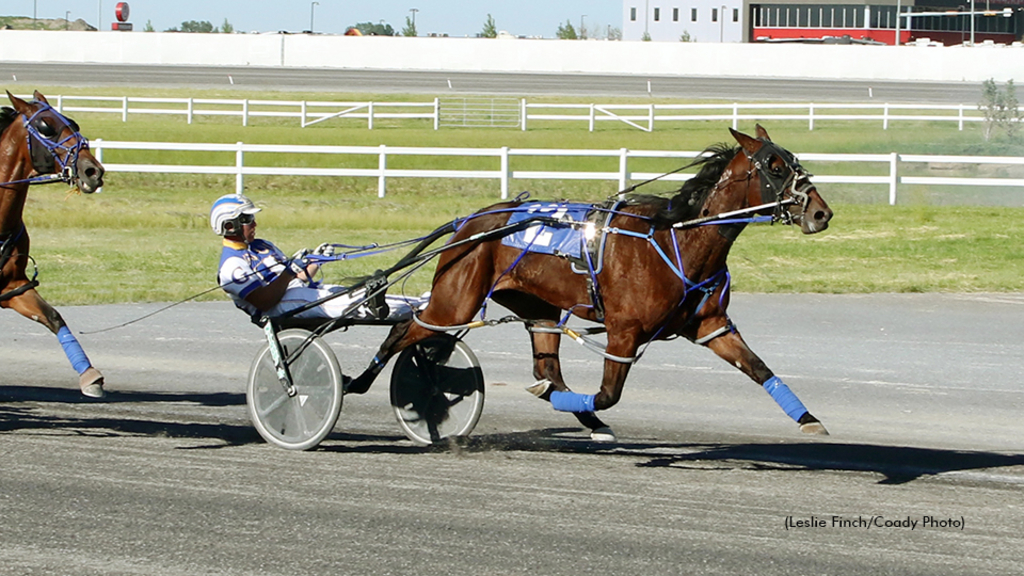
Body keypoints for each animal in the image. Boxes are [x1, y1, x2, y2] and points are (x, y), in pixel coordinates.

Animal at [0, 90, 105, 393]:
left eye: (73, 123)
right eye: (46, 126)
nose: (93, 171)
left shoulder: (13, 285)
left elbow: (52, 316)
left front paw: (89, 375)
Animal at [352, 124, 831, 438]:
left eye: (795, 162)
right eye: (774, 165)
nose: (821, 212)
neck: (677, 237)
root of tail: (471, 221)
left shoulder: (710, 325)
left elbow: (759, 368)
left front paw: (809, 420)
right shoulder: (624, 333)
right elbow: (607, 393)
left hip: (539, 309)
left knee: (547, 369)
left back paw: (579, 414)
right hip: (455, 301)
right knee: (406, 327)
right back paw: (357, 382)